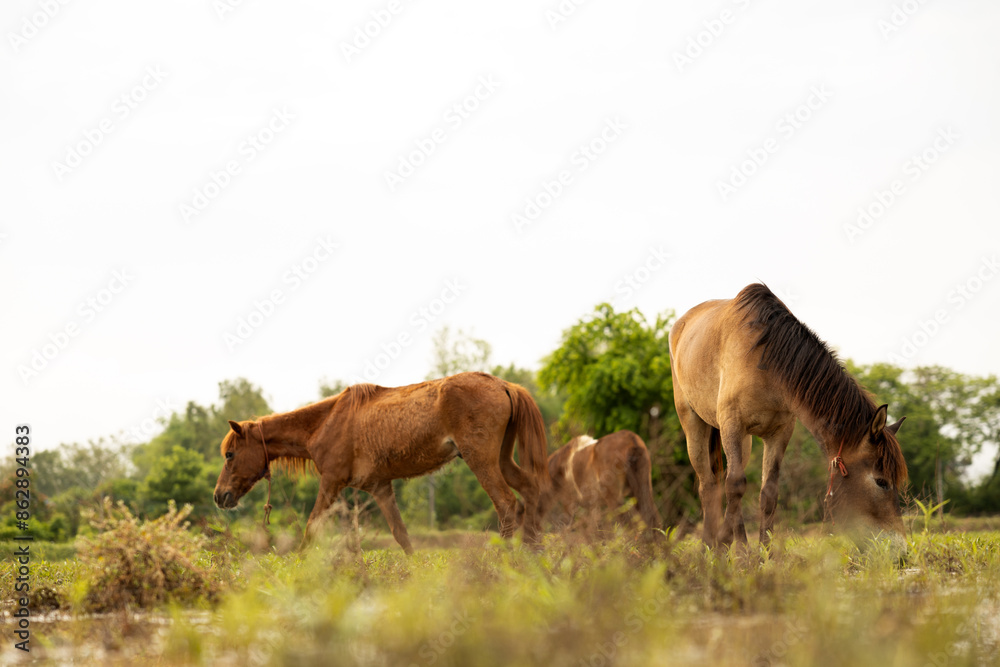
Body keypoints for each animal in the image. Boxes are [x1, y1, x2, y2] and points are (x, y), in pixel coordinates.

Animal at [213, 372, 551, 553]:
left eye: (230, 455)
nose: (219, 496)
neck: (326, 422)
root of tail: (505, 385)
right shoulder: (380, 487)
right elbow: (402, 535)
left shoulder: (331, 482)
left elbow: (311, 528)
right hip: (503, 460)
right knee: (532, 493)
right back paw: (534, 556)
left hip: (482, 461)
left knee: (507, 504)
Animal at [668, 283, 908, 551]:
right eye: (881, 482)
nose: (901, 551)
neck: (765, 363)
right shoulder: (733, 426)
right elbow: (736, 486)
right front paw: (740, 553)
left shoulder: (779, 433)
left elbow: (768, 493)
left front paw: (764, 553)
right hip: (694, 427)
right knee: (708, 486)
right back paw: (709, 547)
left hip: (744, 442)